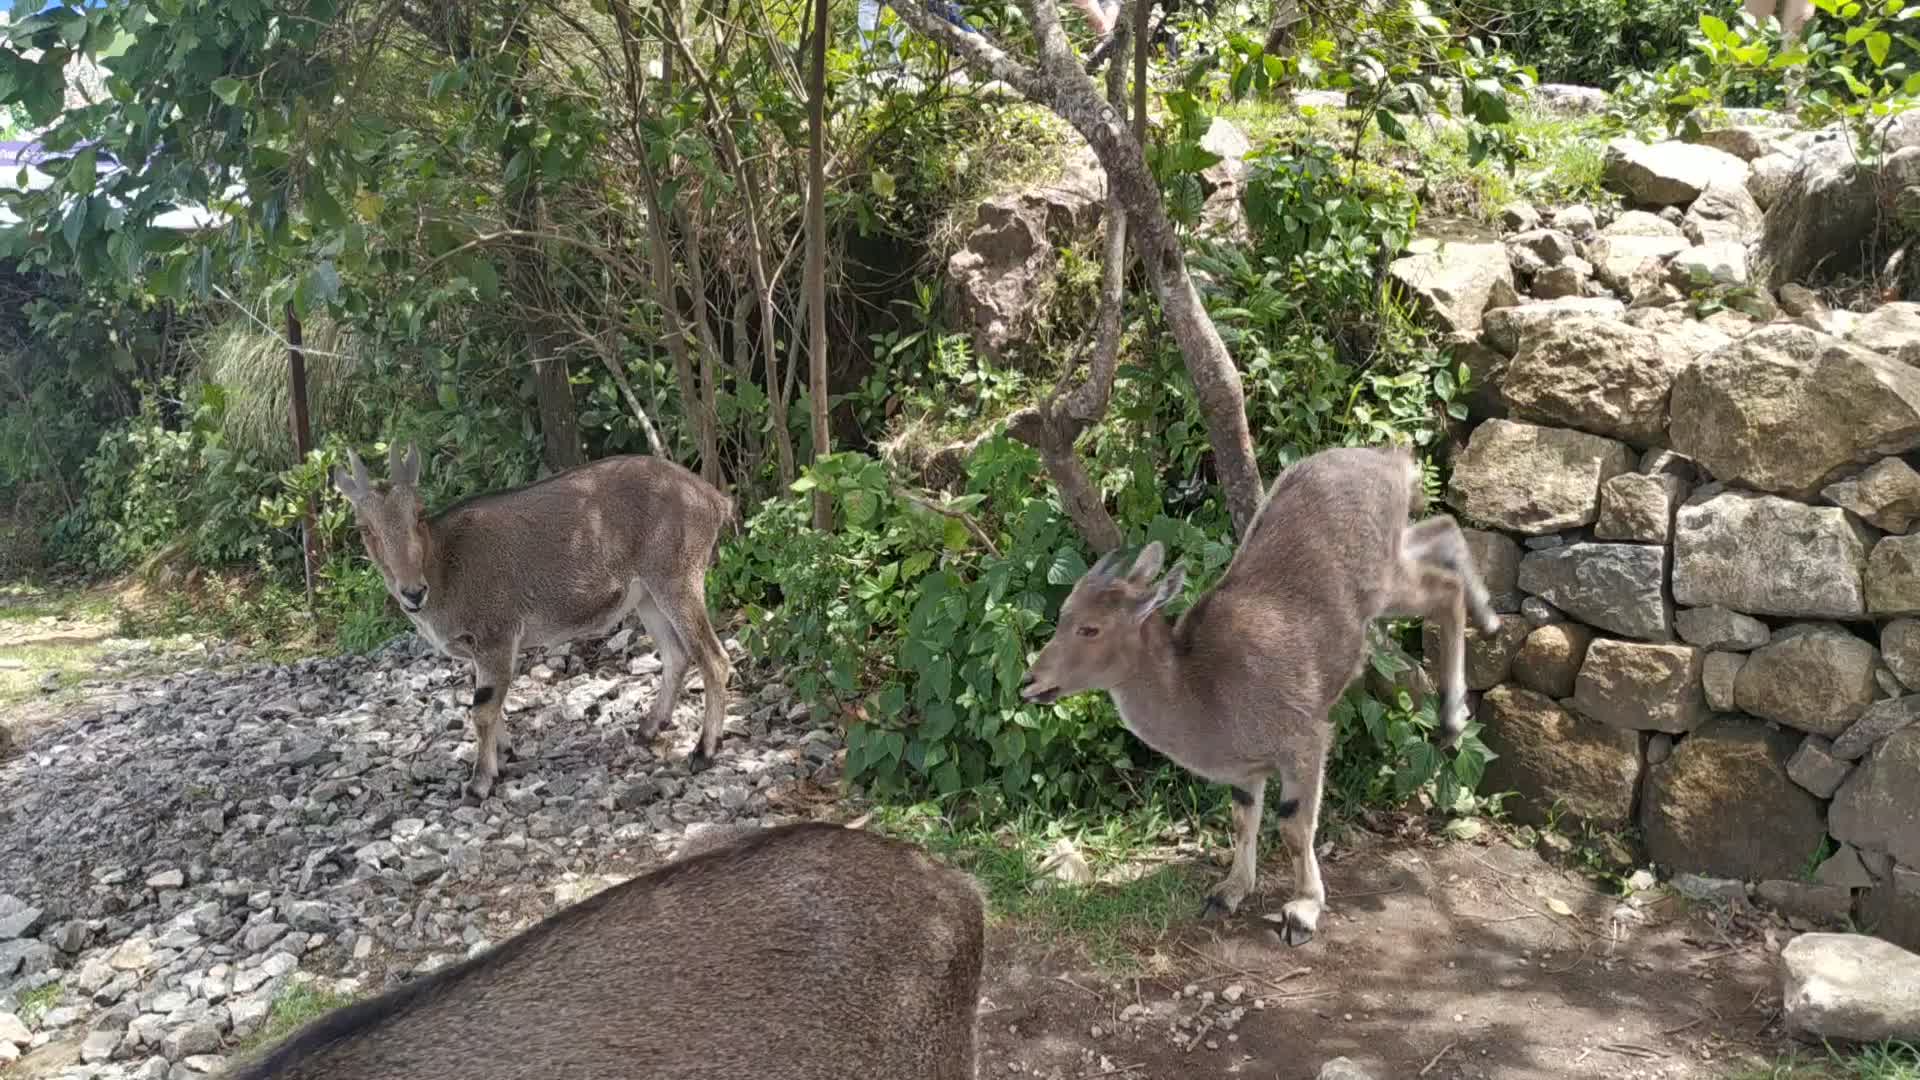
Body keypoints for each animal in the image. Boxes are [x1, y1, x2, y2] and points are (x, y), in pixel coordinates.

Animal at [334, 445, 734, 801]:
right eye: (364, 528)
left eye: (418, 513)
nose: (413, 592)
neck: (445, 566)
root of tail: (712, 499)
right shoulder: (478, 651)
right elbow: (488, 704)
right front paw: (504, 754)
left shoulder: (496, 634)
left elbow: (482, 710)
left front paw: (480, 784)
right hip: (647, 596)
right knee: (676, 655)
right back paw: (649, 728)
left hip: (676, 577)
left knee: (713, 658)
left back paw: (704, 750)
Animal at [1018, 444, 1498, 945]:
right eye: (1063, 613)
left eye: (1090, 628)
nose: (1031, 682)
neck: (1205, 693)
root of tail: (1393, 460)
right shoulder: (1245, 770)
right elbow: (1242, 817)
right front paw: (1227, 892)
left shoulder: (1305, 740)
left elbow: (1292, 825)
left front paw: (1302, 911)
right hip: (1396, 556)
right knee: (1441, 529)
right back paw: (1488, 620)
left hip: (1385, 583)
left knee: (1443, 586)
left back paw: (1454, 713)